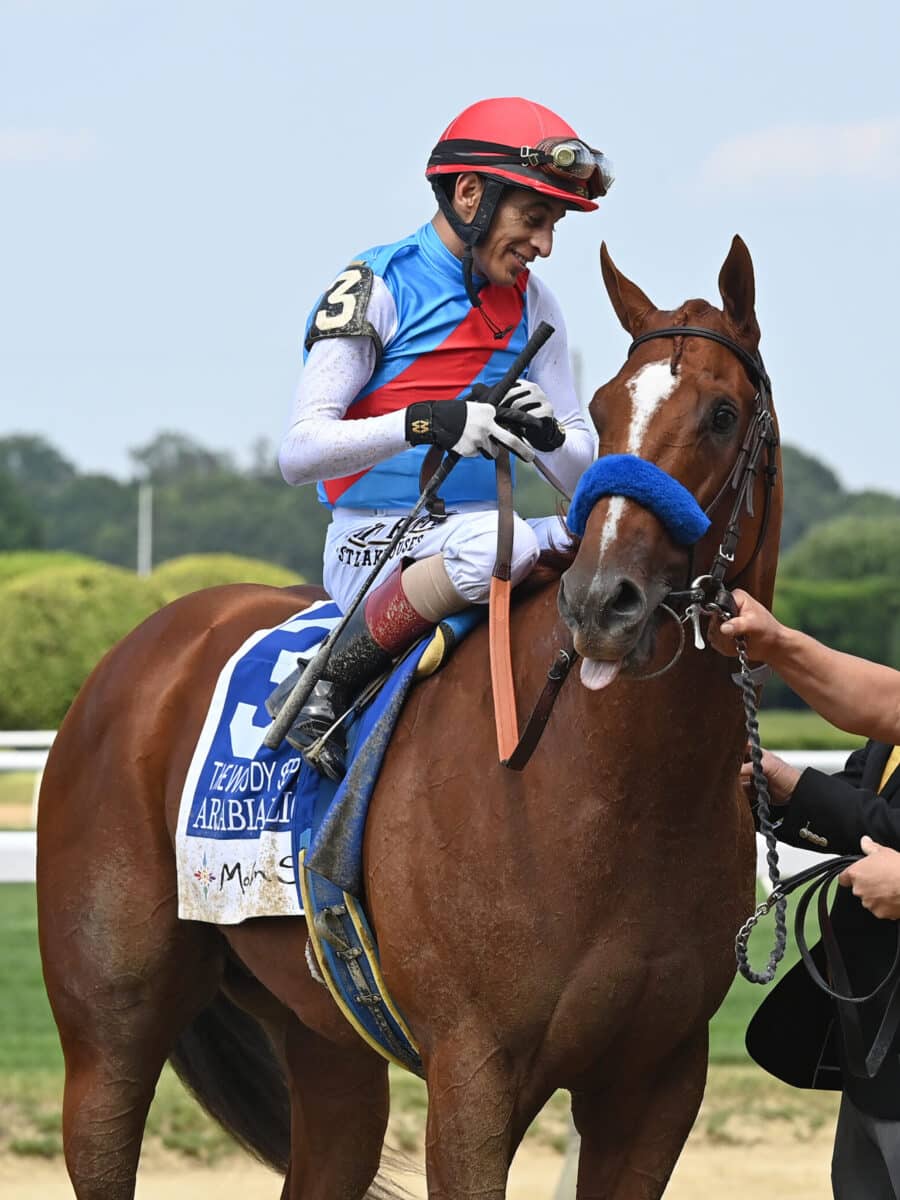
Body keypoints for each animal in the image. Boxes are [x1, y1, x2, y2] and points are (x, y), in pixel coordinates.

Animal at [35, 236, 782, 1200]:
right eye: (608, 409)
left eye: (723, 414)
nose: (600, 600)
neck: (615, 791)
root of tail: (136, 648)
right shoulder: (476, 1071)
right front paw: (467, 418)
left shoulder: (657, 1084)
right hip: (109, 1030)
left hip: (323, 1036)